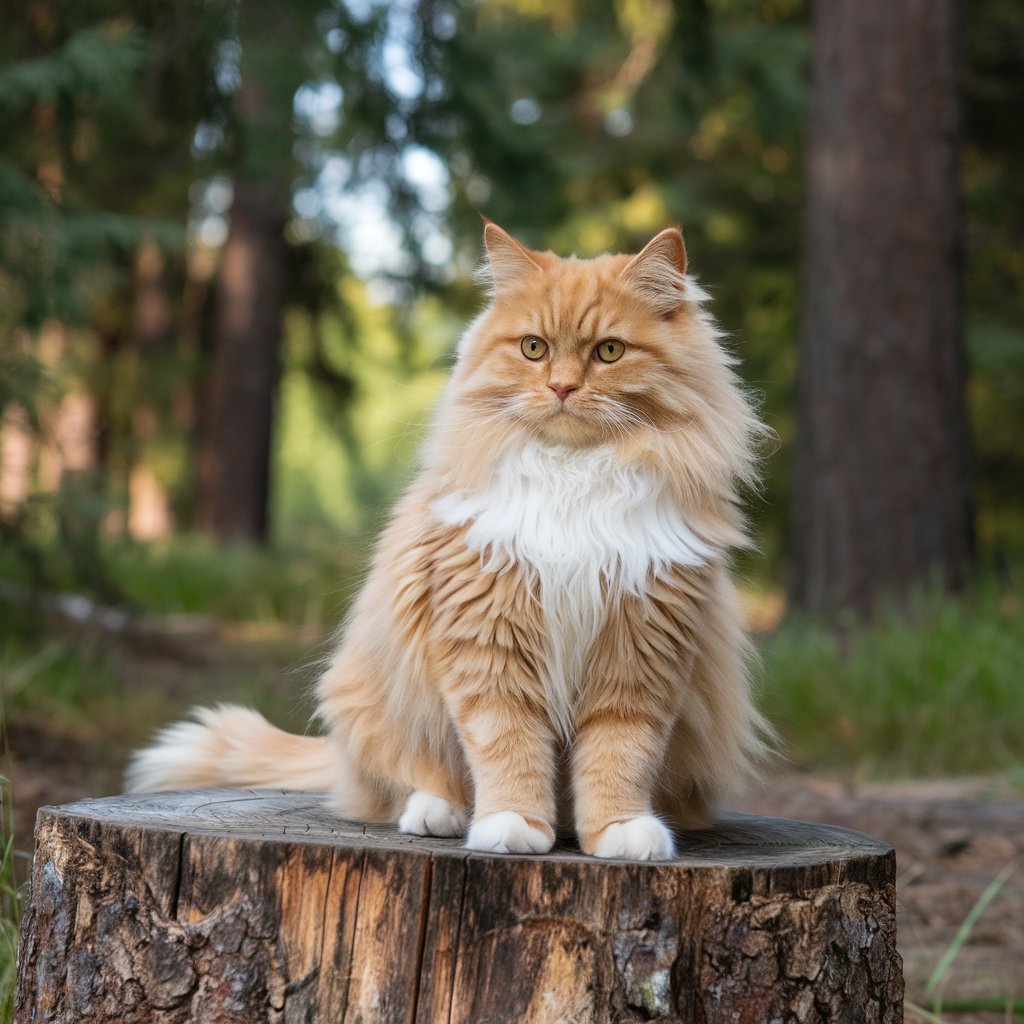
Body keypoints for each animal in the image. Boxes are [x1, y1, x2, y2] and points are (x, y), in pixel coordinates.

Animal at [128, 226, 770, 864]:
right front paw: (513, 825)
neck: (572, 476)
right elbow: (508, 743)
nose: (562, 387)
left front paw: (619, 830)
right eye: (533, 349)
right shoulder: (490, 638)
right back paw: (441, 814)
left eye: (609, 352)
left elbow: (621, 752)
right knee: (410, 782)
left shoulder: (640, 651)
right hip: (375, 703)